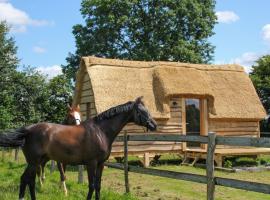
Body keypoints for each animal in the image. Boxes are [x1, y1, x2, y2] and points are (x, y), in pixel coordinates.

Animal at [0, 96, 156, 199]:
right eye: (141, 111)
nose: (154, 125)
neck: (100, 131)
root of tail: (28, 130)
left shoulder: (100, 164)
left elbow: (98, 185)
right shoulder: (91, 163)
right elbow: (91, 185)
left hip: (36, 162)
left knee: (30, 181)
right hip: (33, 162)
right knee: (25, 179)